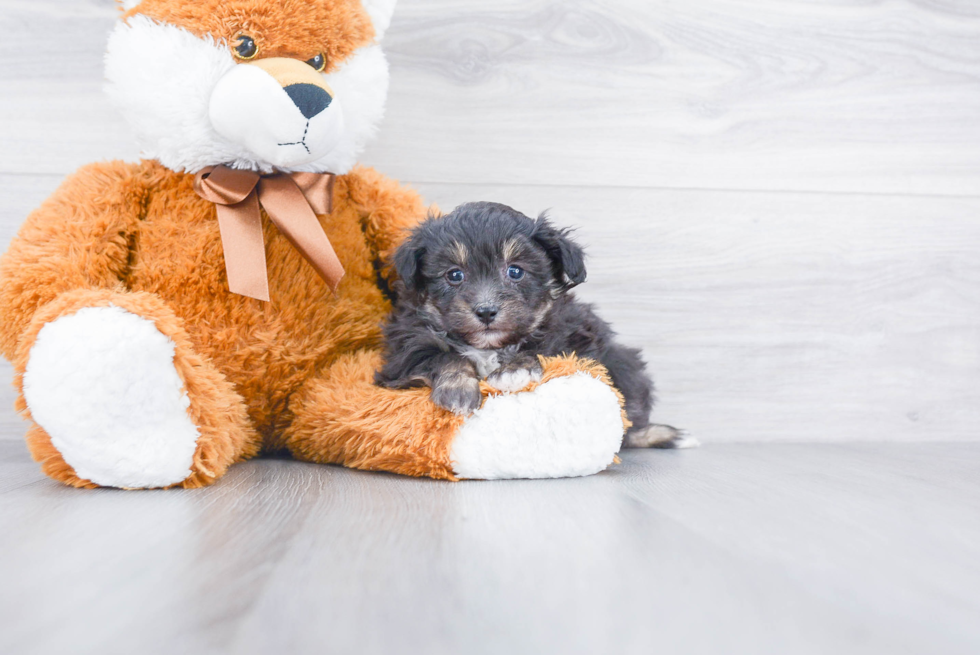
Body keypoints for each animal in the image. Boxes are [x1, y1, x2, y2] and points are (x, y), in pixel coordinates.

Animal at [376, 200, 688, 448]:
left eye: (515, 271)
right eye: (454, 275)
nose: (486, 311)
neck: (488, 347)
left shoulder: (572, 339)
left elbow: (540, 348)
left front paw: (514, 370)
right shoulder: (404, 352)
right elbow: (443, 356)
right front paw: (458, 390)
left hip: (623, 364)